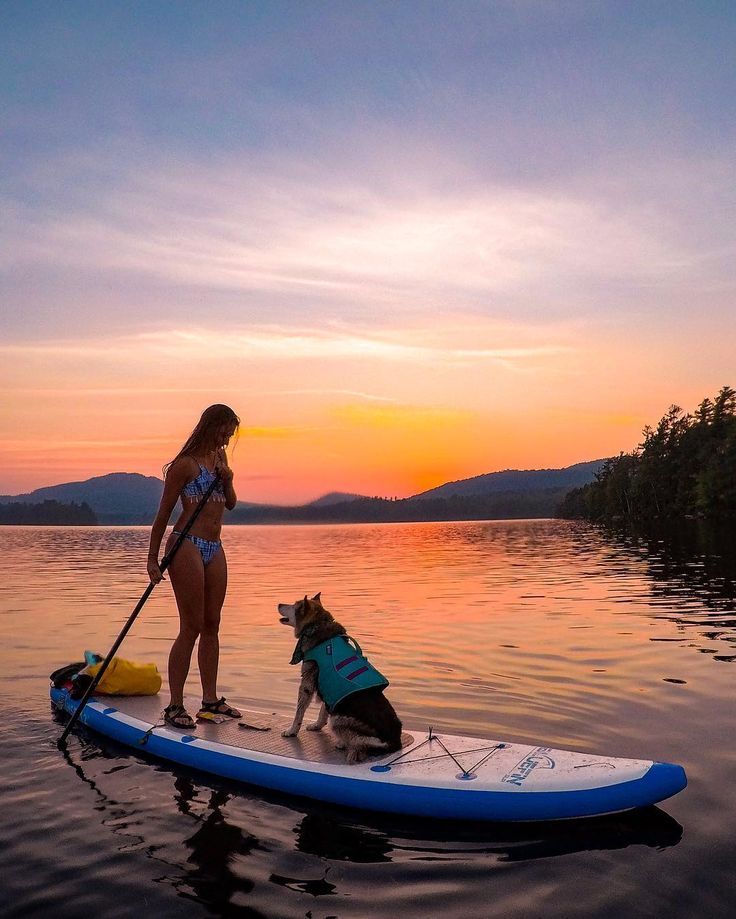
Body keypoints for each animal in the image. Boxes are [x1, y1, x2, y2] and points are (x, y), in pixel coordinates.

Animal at [276, 592, 402, 764]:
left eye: (294, 605)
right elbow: (323, 710)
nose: (278, 604)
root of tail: (393, 741)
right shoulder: (327, 688)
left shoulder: (307, 682)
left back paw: (342, 743)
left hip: (338, 719)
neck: (317, 626)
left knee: (358, 743)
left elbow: (299, 711)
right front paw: (317, 725)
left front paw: (292, 731)